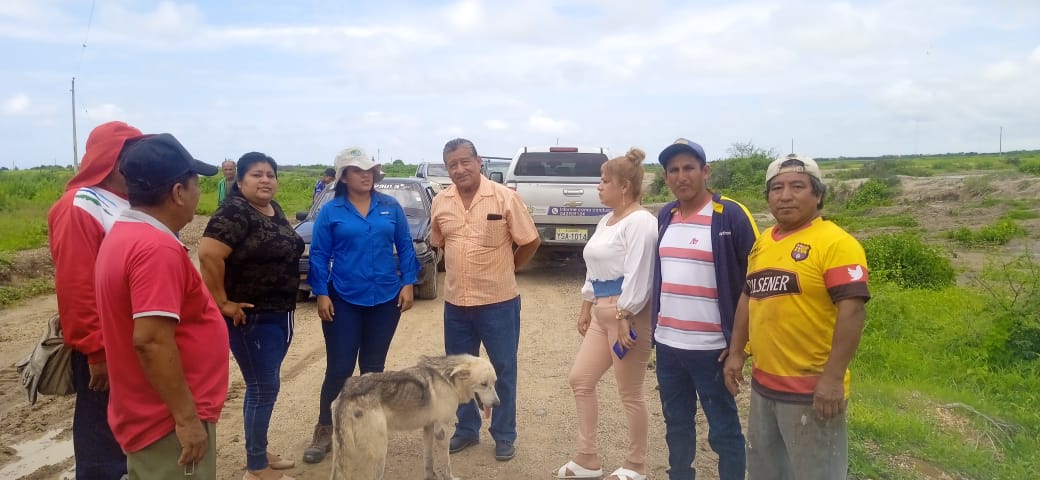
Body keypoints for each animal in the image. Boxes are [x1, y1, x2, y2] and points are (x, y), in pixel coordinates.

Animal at [329, 354, 500, 480]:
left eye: (494, 383)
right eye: (483, 384)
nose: (498, 404)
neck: (448, 380)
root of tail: (345, 395)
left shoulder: (429, 428)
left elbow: (428, 460)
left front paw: (431, 477)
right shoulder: (442, 431)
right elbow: (446, 463)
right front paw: (449, 477)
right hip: (379, 454)